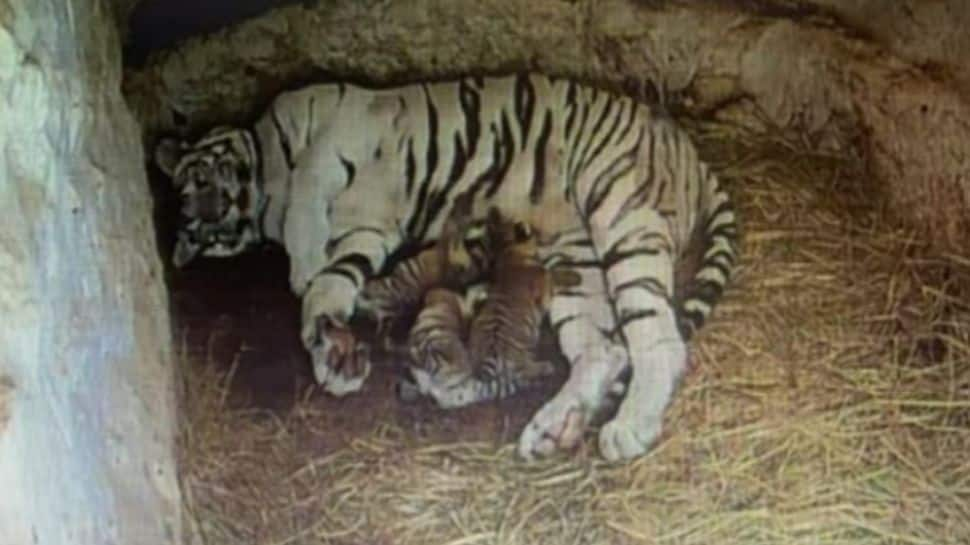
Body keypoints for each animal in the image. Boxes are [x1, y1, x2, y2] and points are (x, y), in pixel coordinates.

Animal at [155, 72, 736, 460]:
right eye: (204, 232)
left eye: (202, 182)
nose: (218, 210)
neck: (265, 190)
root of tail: (689, 148)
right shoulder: (364, 233)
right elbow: (330, 285)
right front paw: (332, 357)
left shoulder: (338, 124)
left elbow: (308, 186)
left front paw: (303, 264)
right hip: (573, 255)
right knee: (603, 349)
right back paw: (555, 428)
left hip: (620, 210)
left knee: (659, 340)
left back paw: (629, 427)